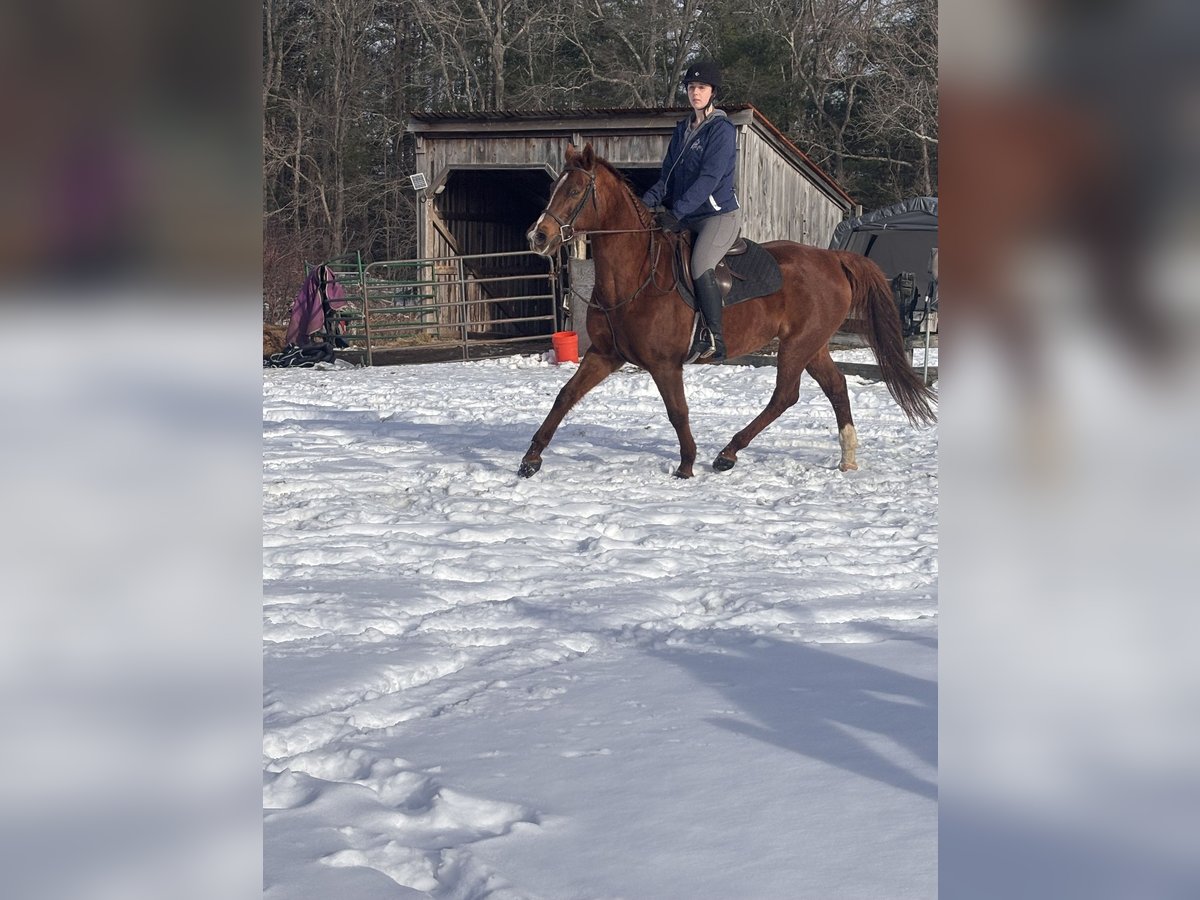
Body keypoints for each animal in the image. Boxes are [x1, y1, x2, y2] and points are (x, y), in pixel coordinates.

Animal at [520, 142, 931, 480]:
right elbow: (565, 396)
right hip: (813, 346)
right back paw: (846, 458)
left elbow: (678, 411)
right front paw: (530, 459)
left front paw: (686, 465)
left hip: (797, 345)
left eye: (575, 191)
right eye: (553, 189)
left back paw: (728, 453)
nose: (537, 237)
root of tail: (833, 258)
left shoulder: (664, 364)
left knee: (785, 395)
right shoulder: (605, 354)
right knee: (836, 387)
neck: (636, 274)